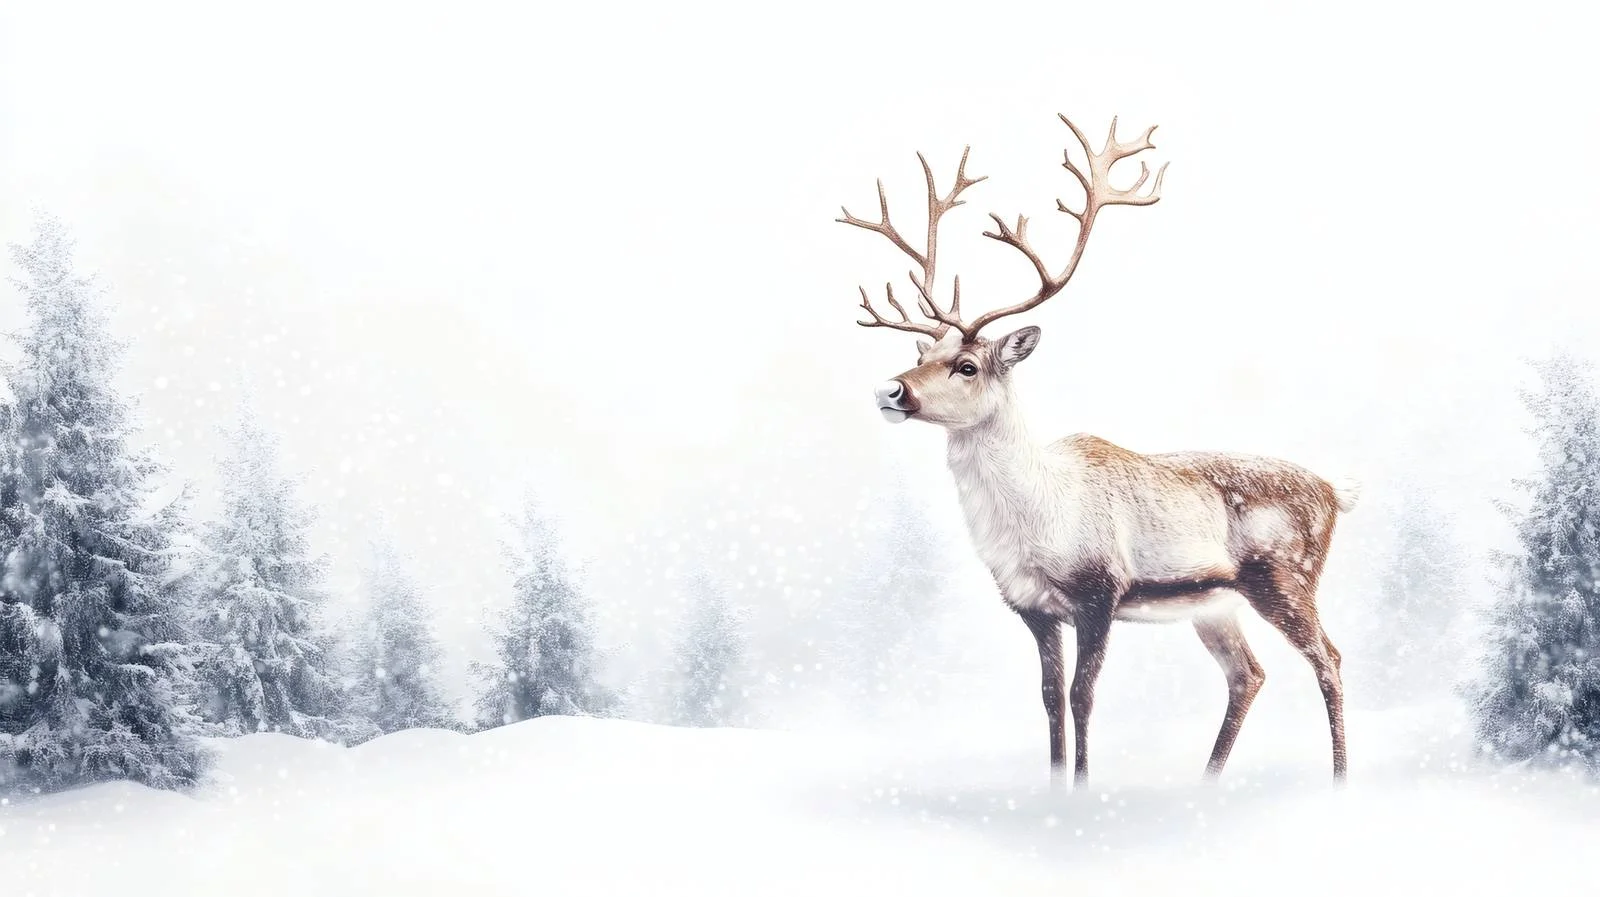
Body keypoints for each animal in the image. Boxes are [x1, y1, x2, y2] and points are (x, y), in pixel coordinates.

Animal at [838, 112, 1360, 788]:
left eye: (967, 365)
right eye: (922, 354)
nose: (890, 389)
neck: (1036, 523)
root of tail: (1336, 492)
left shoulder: (1100, 592)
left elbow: (1083, 697)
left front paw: (1083, 787)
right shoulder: (1033, 609)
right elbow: (1049, 700)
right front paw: (1055, 784)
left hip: (1284, 576)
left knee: (1330, 658)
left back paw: (1339, 778)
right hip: (1216, 603)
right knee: (1249, 674)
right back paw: (1207, 780)